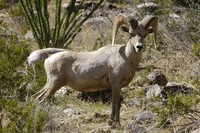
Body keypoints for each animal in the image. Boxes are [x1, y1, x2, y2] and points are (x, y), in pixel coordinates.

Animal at [28, 14, 158, 127]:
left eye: (145, 34)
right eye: (131, 33)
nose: (139, 47)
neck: (126, 58)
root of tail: (50, 57)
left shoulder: (119, 86)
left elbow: (118, 103)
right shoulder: (115, 84)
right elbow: (115, 102)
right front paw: (114, 123)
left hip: (50, 84)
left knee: (36, 97)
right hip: (55, 84)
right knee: (42, 99)